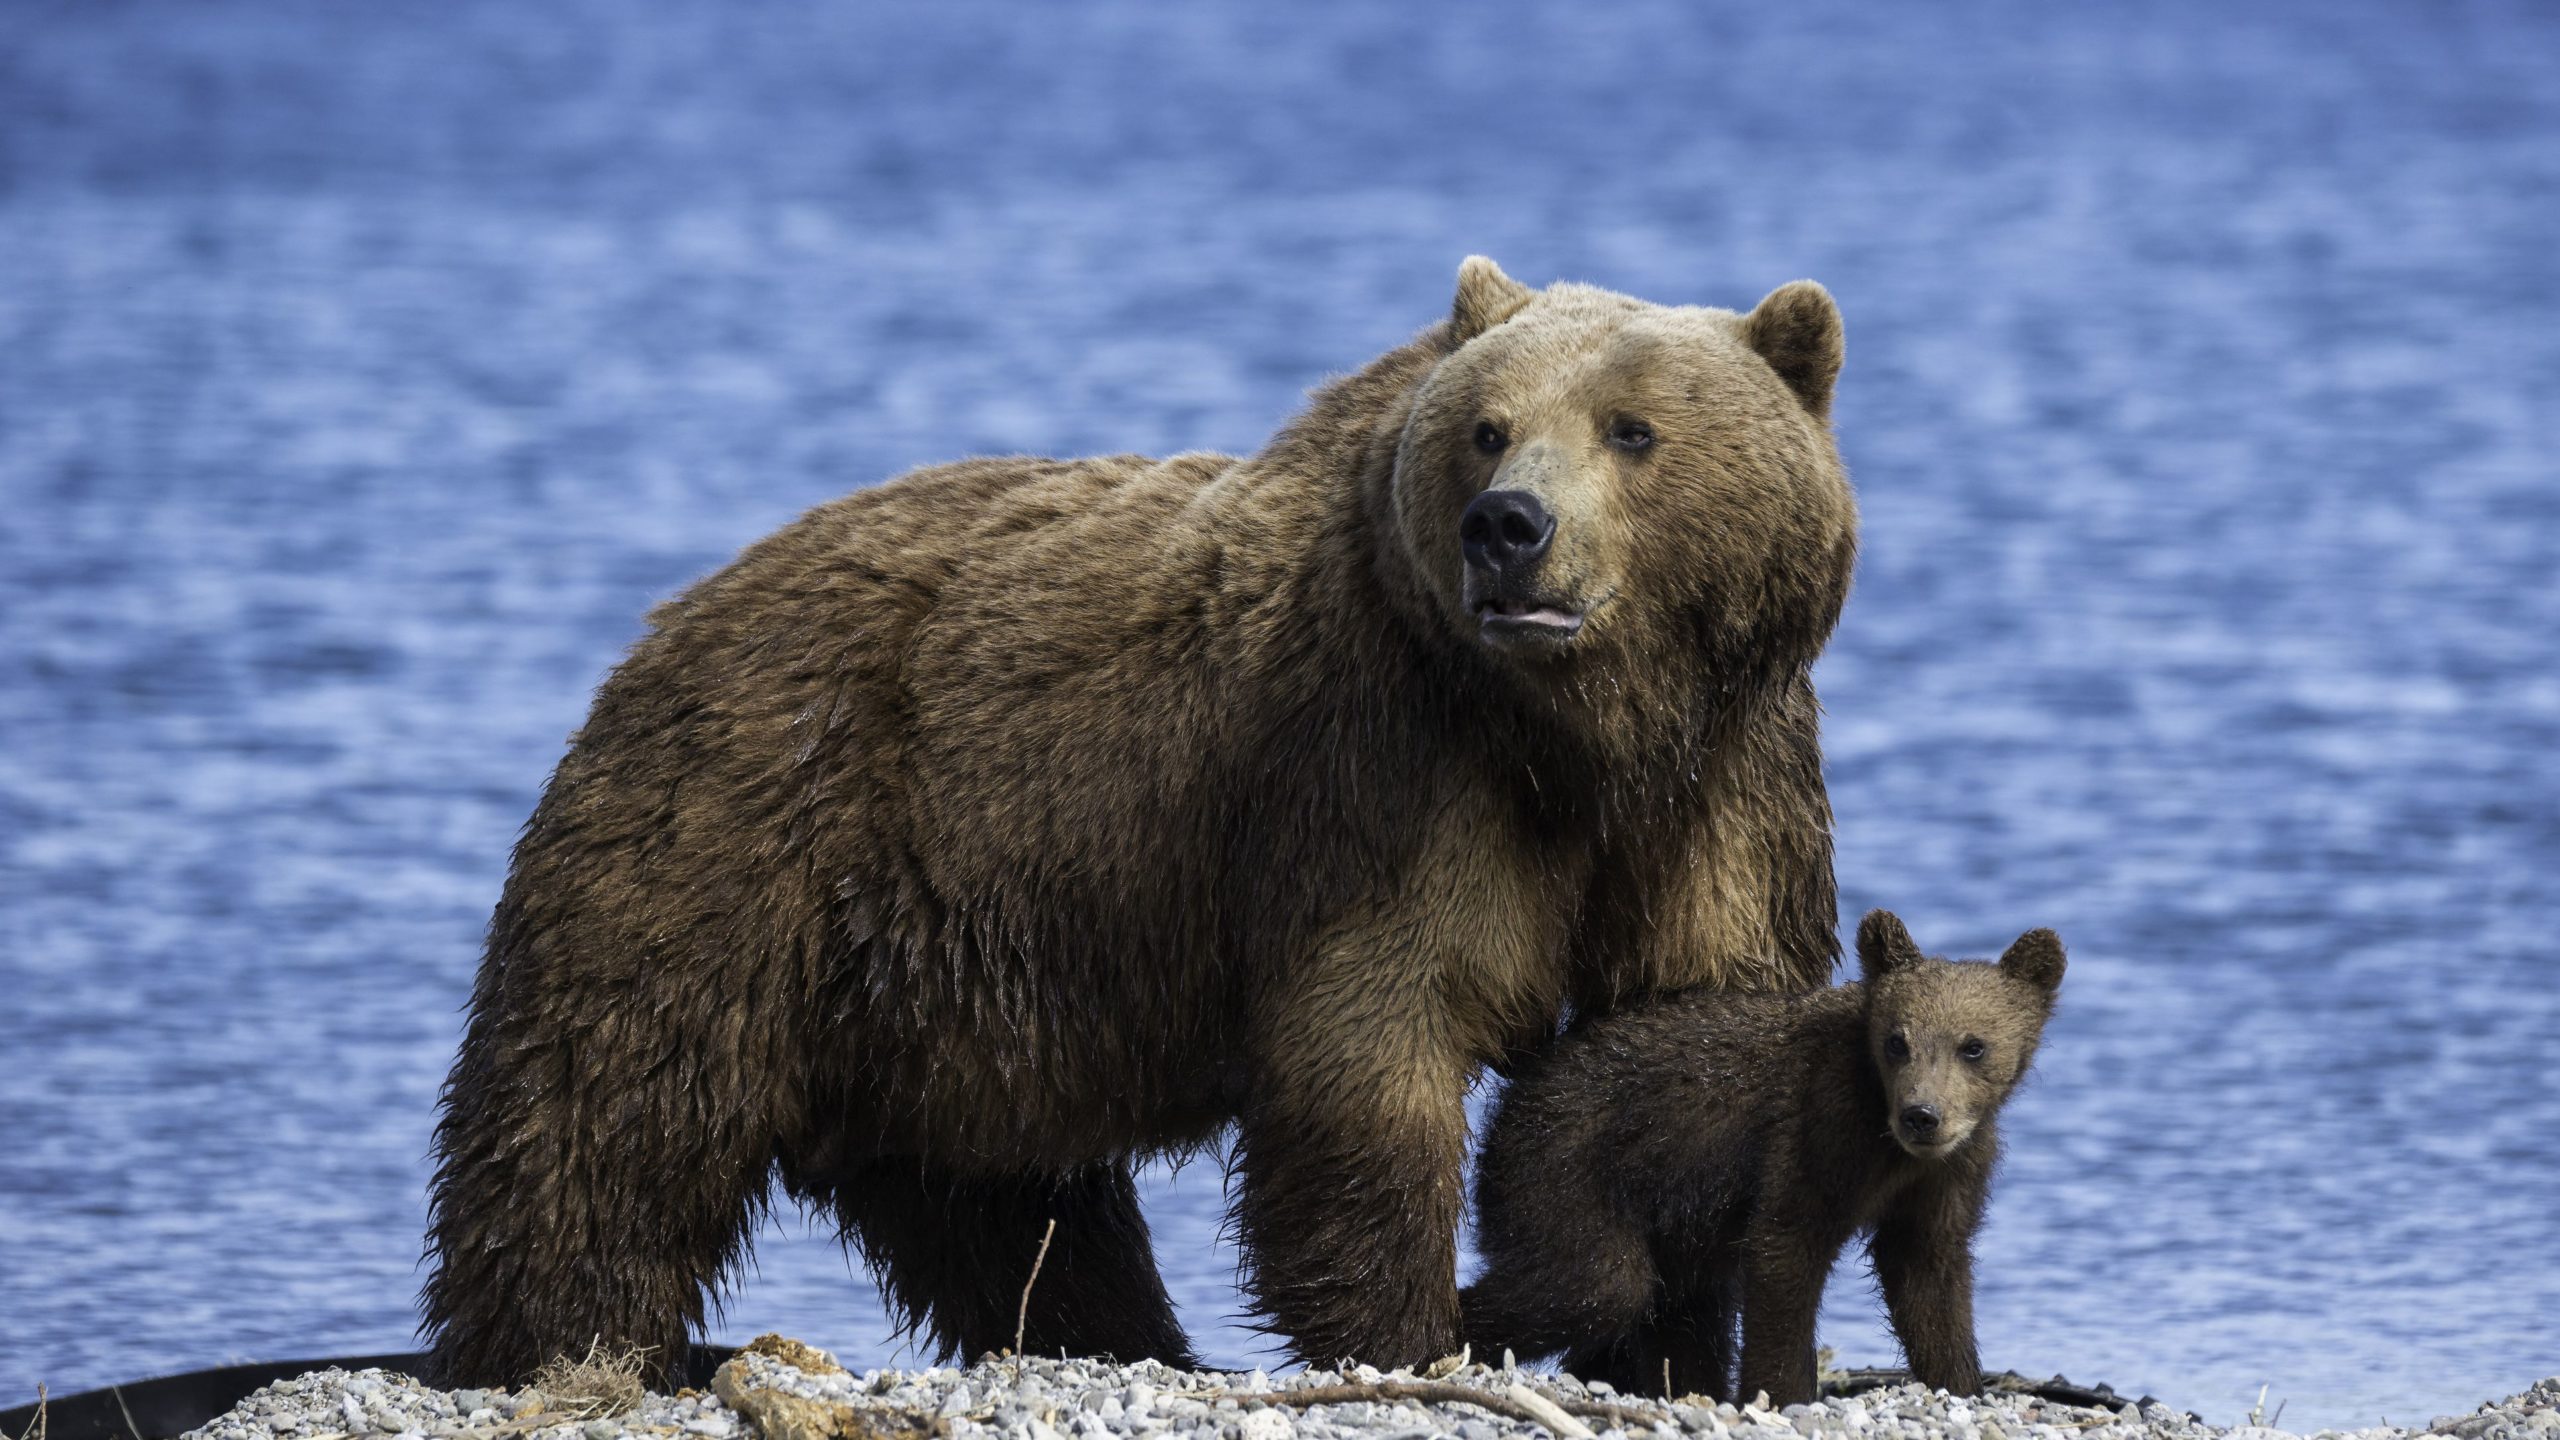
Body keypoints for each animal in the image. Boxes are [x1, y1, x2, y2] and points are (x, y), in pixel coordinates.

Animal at [419, 254, 1863, 1383]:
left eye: (1632, 429)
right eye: (1488, 428)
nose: (1508, 527)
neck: (1579, 733)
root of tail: (670, 623)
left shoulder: (1728, 777)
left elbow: (1685, 1031)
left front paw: (1664, 1338)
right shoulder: (1379, 773)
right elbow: (1374, 1041)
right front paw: (1412, 1329)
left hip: (943, 988)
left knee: (999, 1203)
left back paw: (1123, 1341)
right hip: (737, 849)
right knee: (606, 1123)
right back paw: (558, 1344)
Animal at [1464, 907, 2058, 1404]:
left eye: (1972, 1045)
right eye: (1897, 1041)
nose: (1922, 1114)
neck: (1889, 1143)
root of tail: (1516, 1090)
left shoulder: (1947, 1172)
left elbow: (1929, 1275)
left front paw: (1960, 1382)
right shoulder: (1819, 1129)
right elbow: (1785, 1250)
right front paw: (1782, 1393)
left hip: (1674, 1226)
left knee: (1680, 1314)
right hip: (1565, 1164)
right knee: (1592, 1282)